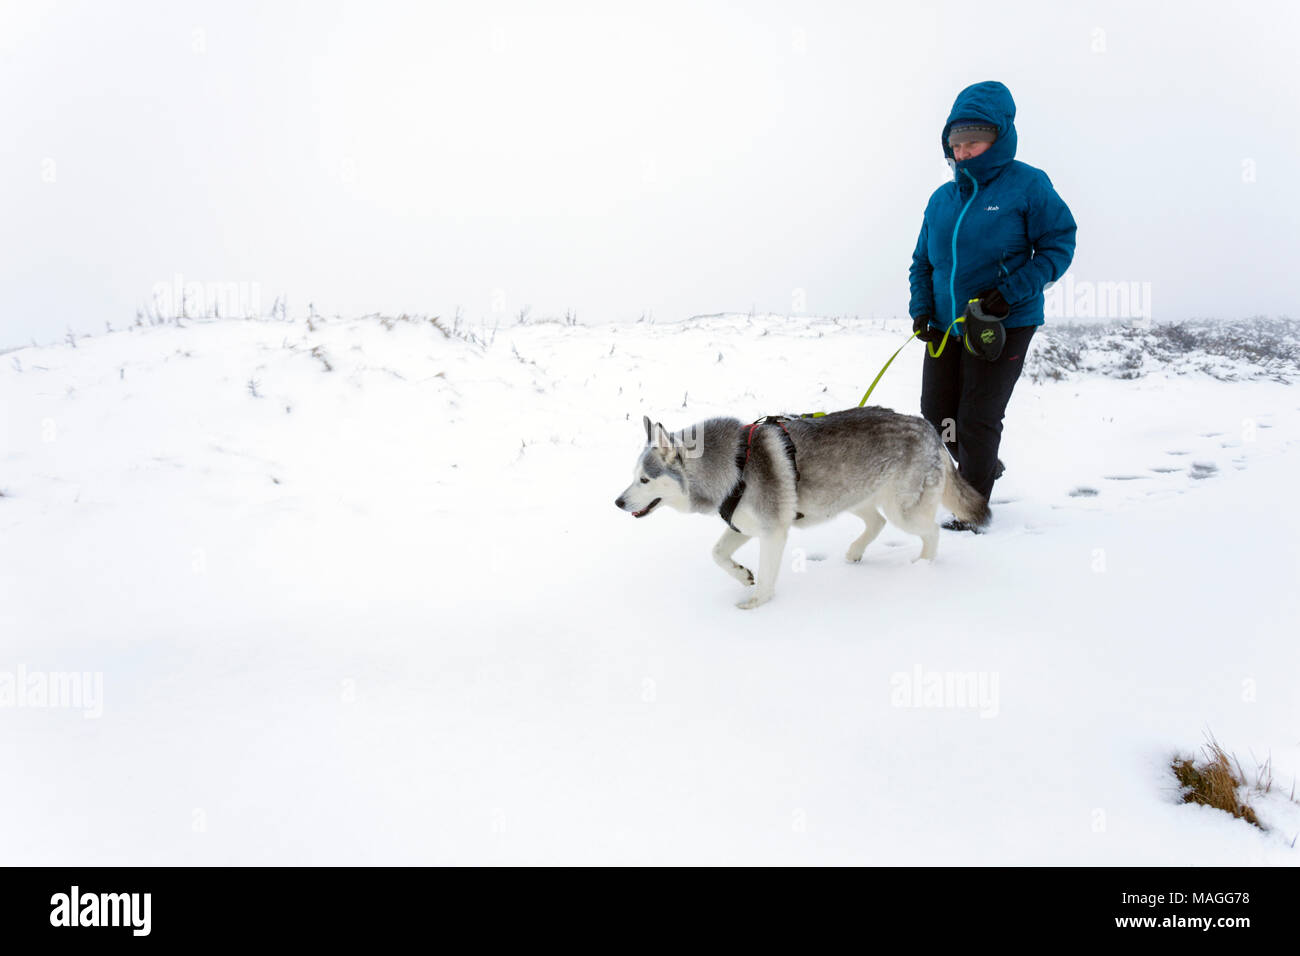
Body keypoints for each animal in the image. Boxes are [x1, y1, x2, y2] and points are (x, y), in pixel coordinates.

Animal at [613, 408, 987, 608]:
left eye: (645, 480)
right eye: (634, 476)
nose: (618, 502)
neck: (733, 467)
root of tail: (928, 427)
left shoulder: (773, 532)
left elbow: (766, 577)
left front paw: (757, 603)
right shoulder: (743, 525)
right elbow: (717, 554)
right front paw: (742, 575)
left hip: (902, 510)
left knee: (931, 530)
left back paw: (923, 567)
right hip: (850, 496)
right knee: (877, 523)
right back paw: (855, 552)